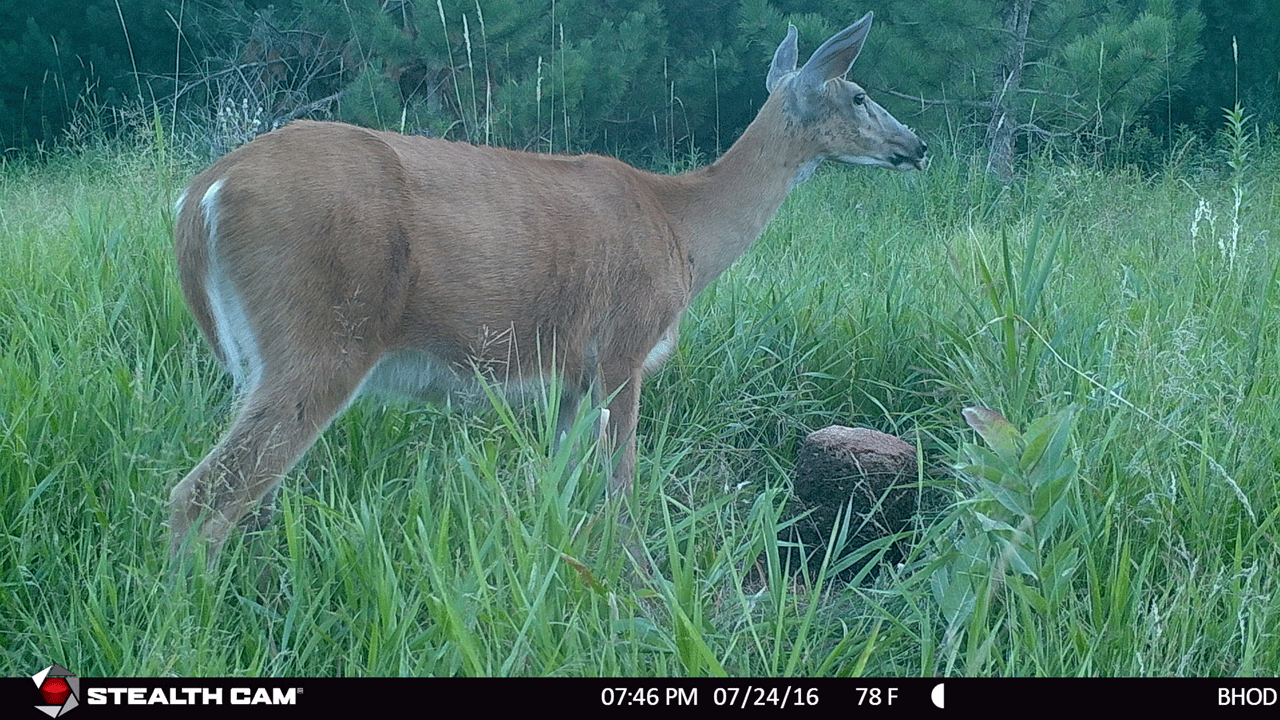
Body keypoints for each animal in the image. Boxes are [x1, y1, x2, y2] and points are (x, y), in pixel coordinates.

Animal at [172, 11, 931, 561]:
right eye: (861, 94)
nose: (918, 146)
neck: (683, 231)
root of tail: (203, 192)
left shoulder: (568, 373)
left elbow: (556, 485)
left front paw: (558, 563)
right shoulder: (625, 346)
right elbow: (620, 484)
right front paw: (633, 576)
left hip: (256, 357)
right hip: (322, 334)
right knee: (200, 497)